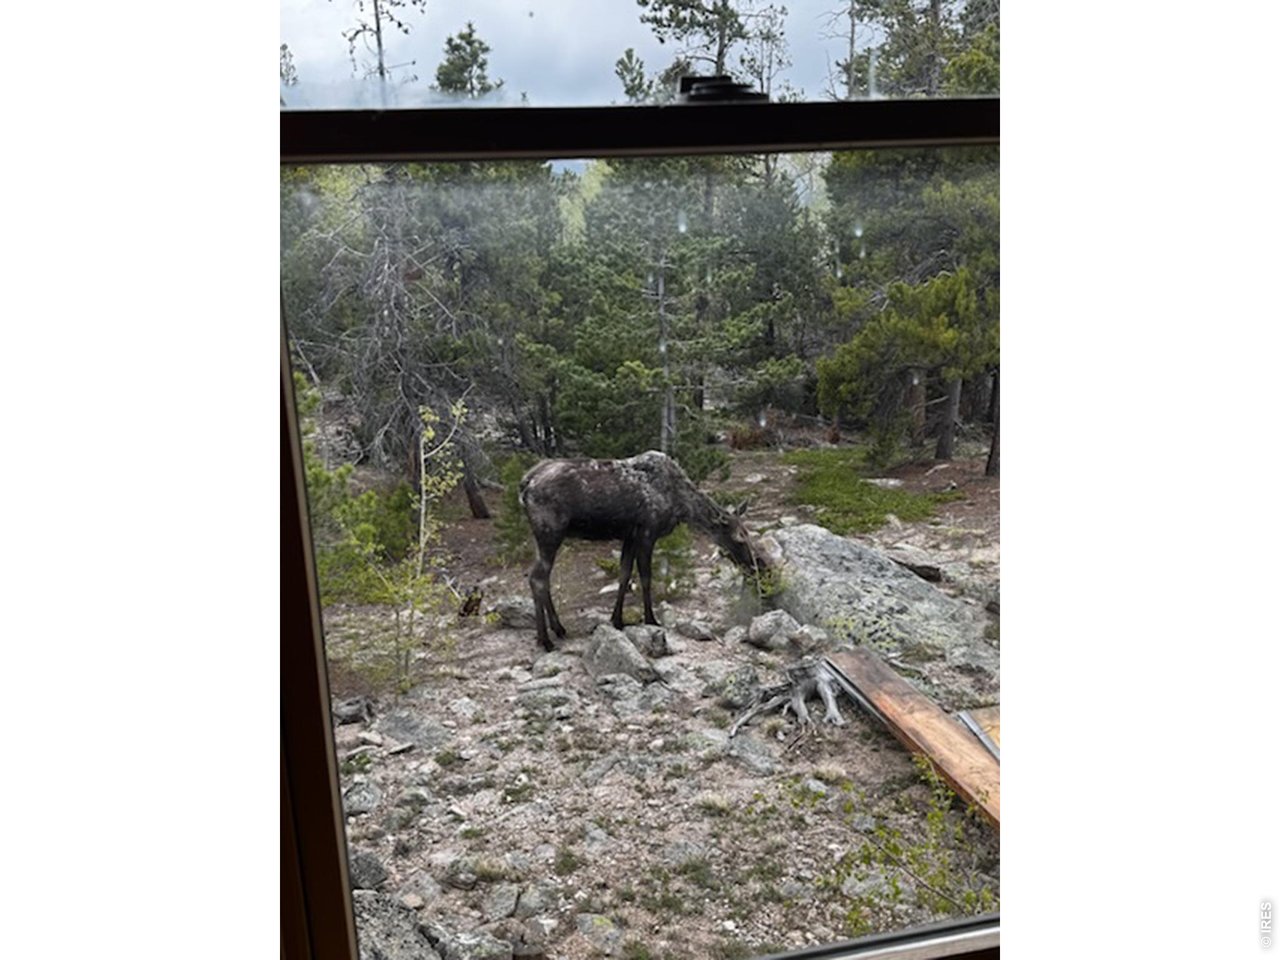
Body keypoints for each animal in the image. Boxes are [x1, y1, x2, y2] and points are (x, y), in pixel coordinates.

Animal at [519, 450, 759, 650]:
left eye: (748, 534)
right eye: (739, 539)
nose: (753, 564)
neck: (681, 506)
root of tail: (524, 484)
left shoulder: (630, 536)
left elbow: (624, 574)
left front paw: (617, 620)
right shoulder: (647, 532)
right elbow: (645, 577)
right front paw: (651, 618)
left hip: (541, 537)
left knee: (542, 577)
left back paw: (558, 628)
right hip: (550, 532)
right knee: (537, 577)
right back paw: (545, 640)